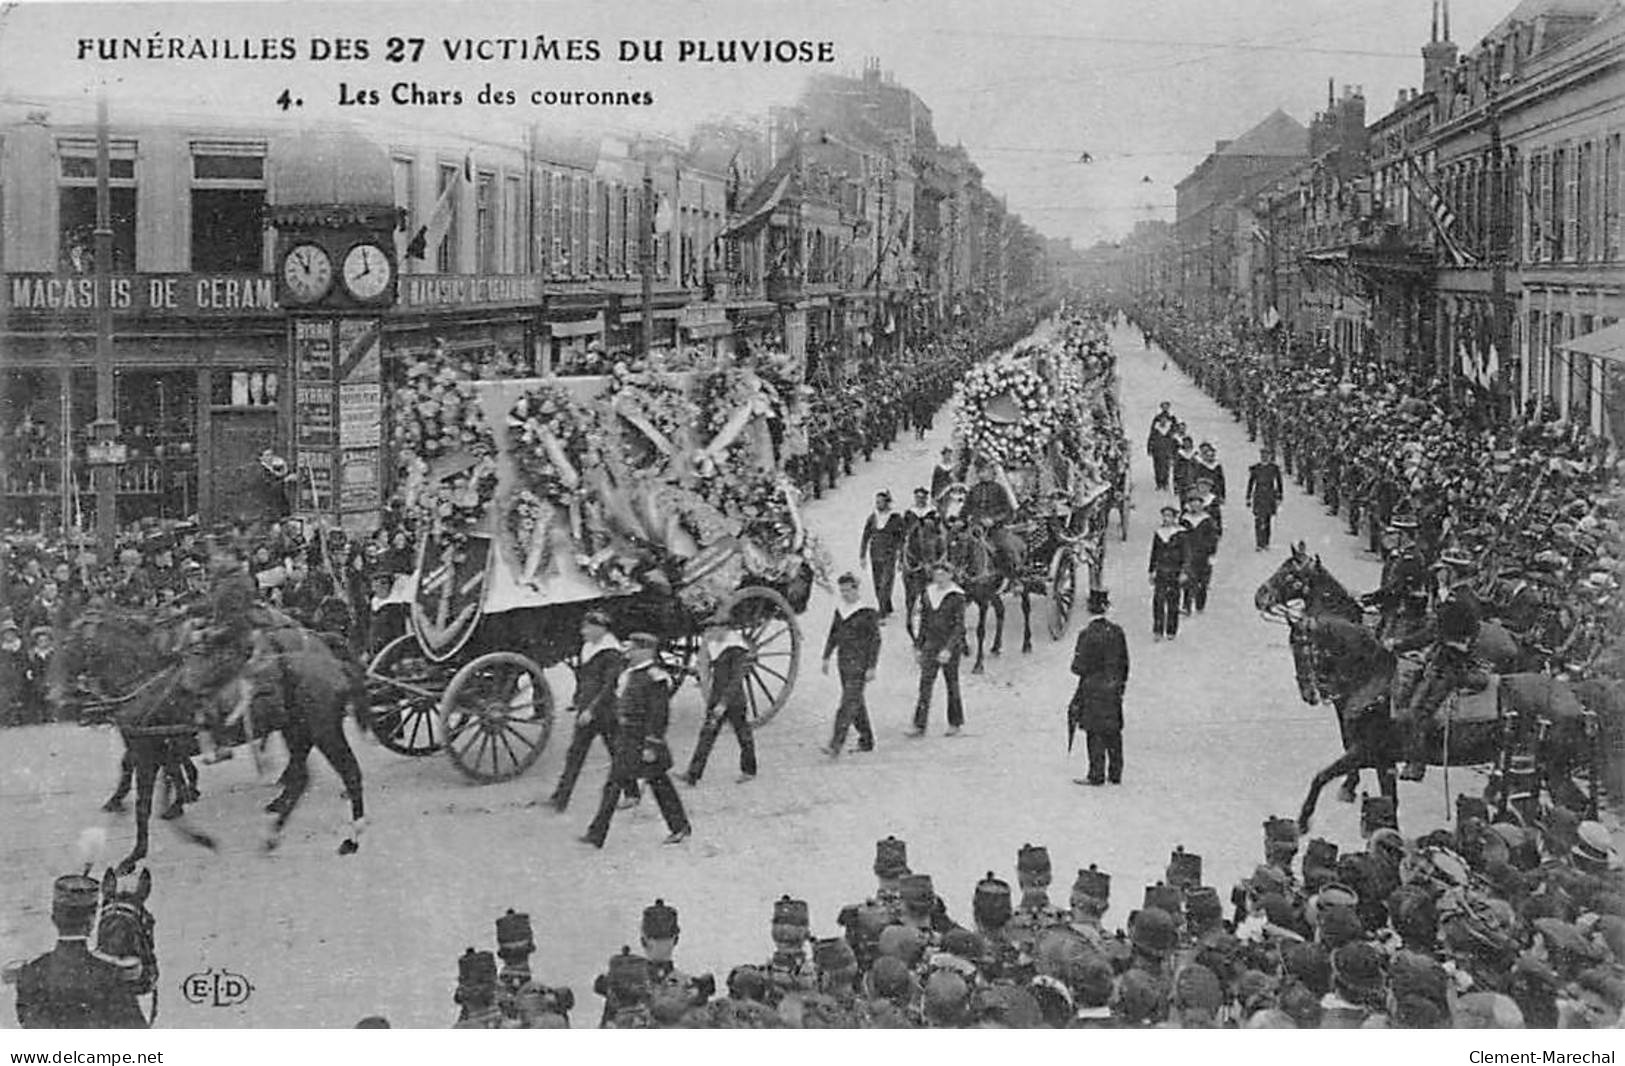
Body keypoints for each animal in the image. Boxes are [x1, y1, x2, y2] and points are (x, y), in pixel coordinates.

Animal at [55, 607, 370, 877]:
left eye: (67, 644)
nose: (54, 696)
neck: (146, 682)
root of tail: (328, 657)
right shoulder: (158, 750)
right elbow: (159, 788)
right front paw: (188, 823)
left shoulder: (148, 752)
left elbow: (144, 805)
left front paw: (135, 854)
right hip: (297, 731)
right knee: (301, 776)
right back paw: (274, 830)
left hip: (324, 730)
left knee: (350, 773)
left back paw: (353, 838)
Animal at [1254, 546, 1599, 828]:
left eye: (1290, 574)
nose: (1260, 596)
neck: (1372, 673)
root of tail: (1578, 701)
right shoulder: (1377, 754)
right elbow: (1385, 797)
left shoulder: (1367, 748)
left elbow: (1326, 771)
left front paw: (1310, 815)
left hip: (1554, 768)